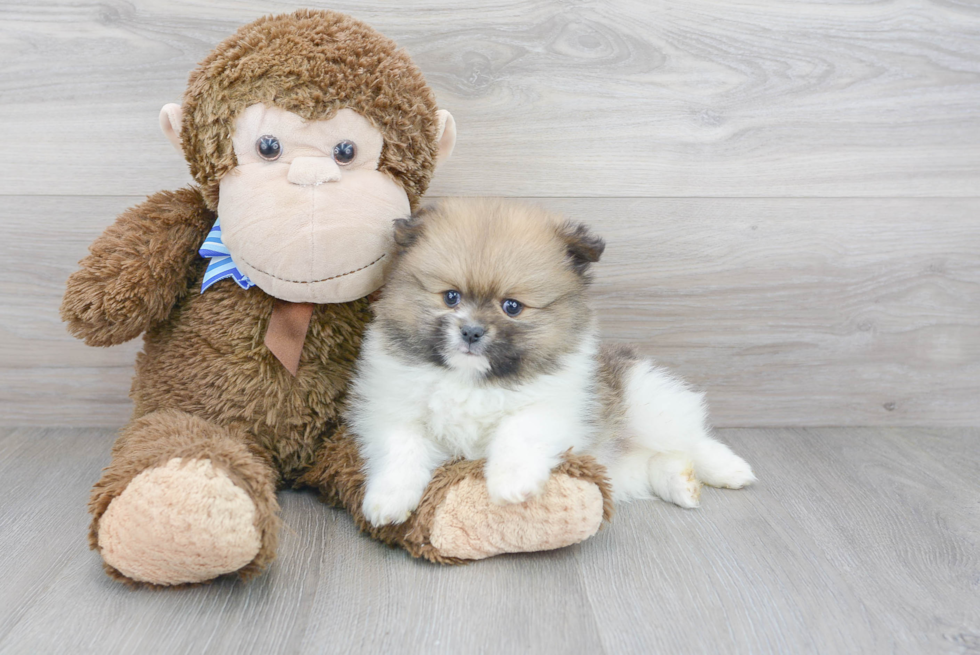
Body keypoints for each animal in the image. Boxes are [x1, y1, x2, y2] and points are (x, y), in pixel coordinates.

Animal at [346, 196, 756, 528]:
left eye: (512, 307)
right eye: (451, 297)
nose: (472, 332)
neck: (474, 381)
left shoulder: (553, 405)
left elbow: (517, 430)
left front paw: (510, 483)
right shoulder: (392, 410)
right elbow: (401, 450)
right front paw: (387, 502)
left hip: (647, 403)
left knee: (693, 439)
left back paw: (729, 470)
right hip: (623, 468)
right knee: (660, 461)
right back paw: (681, 483)